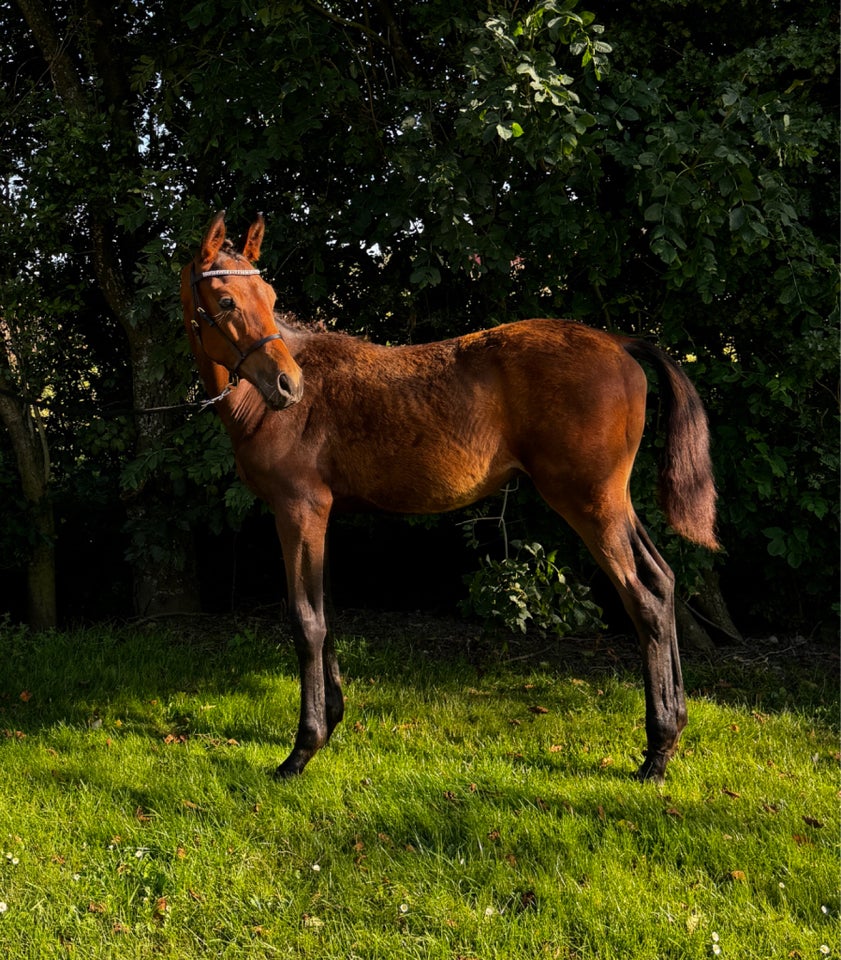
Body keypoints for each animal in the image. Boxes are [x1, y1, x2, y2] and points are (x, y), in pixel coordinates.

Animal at [177, 210, 716, 780]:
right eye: (227, 301)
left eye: (271, 296)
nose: (288, 385)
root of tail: (619, 342)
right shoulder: (321, 515)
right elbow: (326, 610)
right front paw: (334, 717)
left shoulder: (298, 510)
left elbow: (307, 622)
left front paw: (303, 748)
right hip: (613, 503)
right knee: (663, 581)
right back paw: (671, 733)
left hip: (588, 504)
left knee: (644, 603)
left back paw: (656, 751)